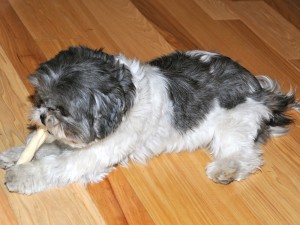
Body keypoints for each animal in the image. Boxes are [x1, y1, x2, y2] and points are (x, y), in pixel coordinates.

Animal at [0, 46, 298, 194]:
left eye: (62, 110)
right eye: (41, 97)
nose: (42, 115)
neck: (125, 99)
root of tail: (261, 91)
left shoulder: (93, 154)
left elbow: (55, 165)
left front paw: (21, 174)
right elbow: (46, 146)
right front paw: (17, 154)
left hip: (233, 124)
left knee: (245, 155)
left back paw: (226, 170)